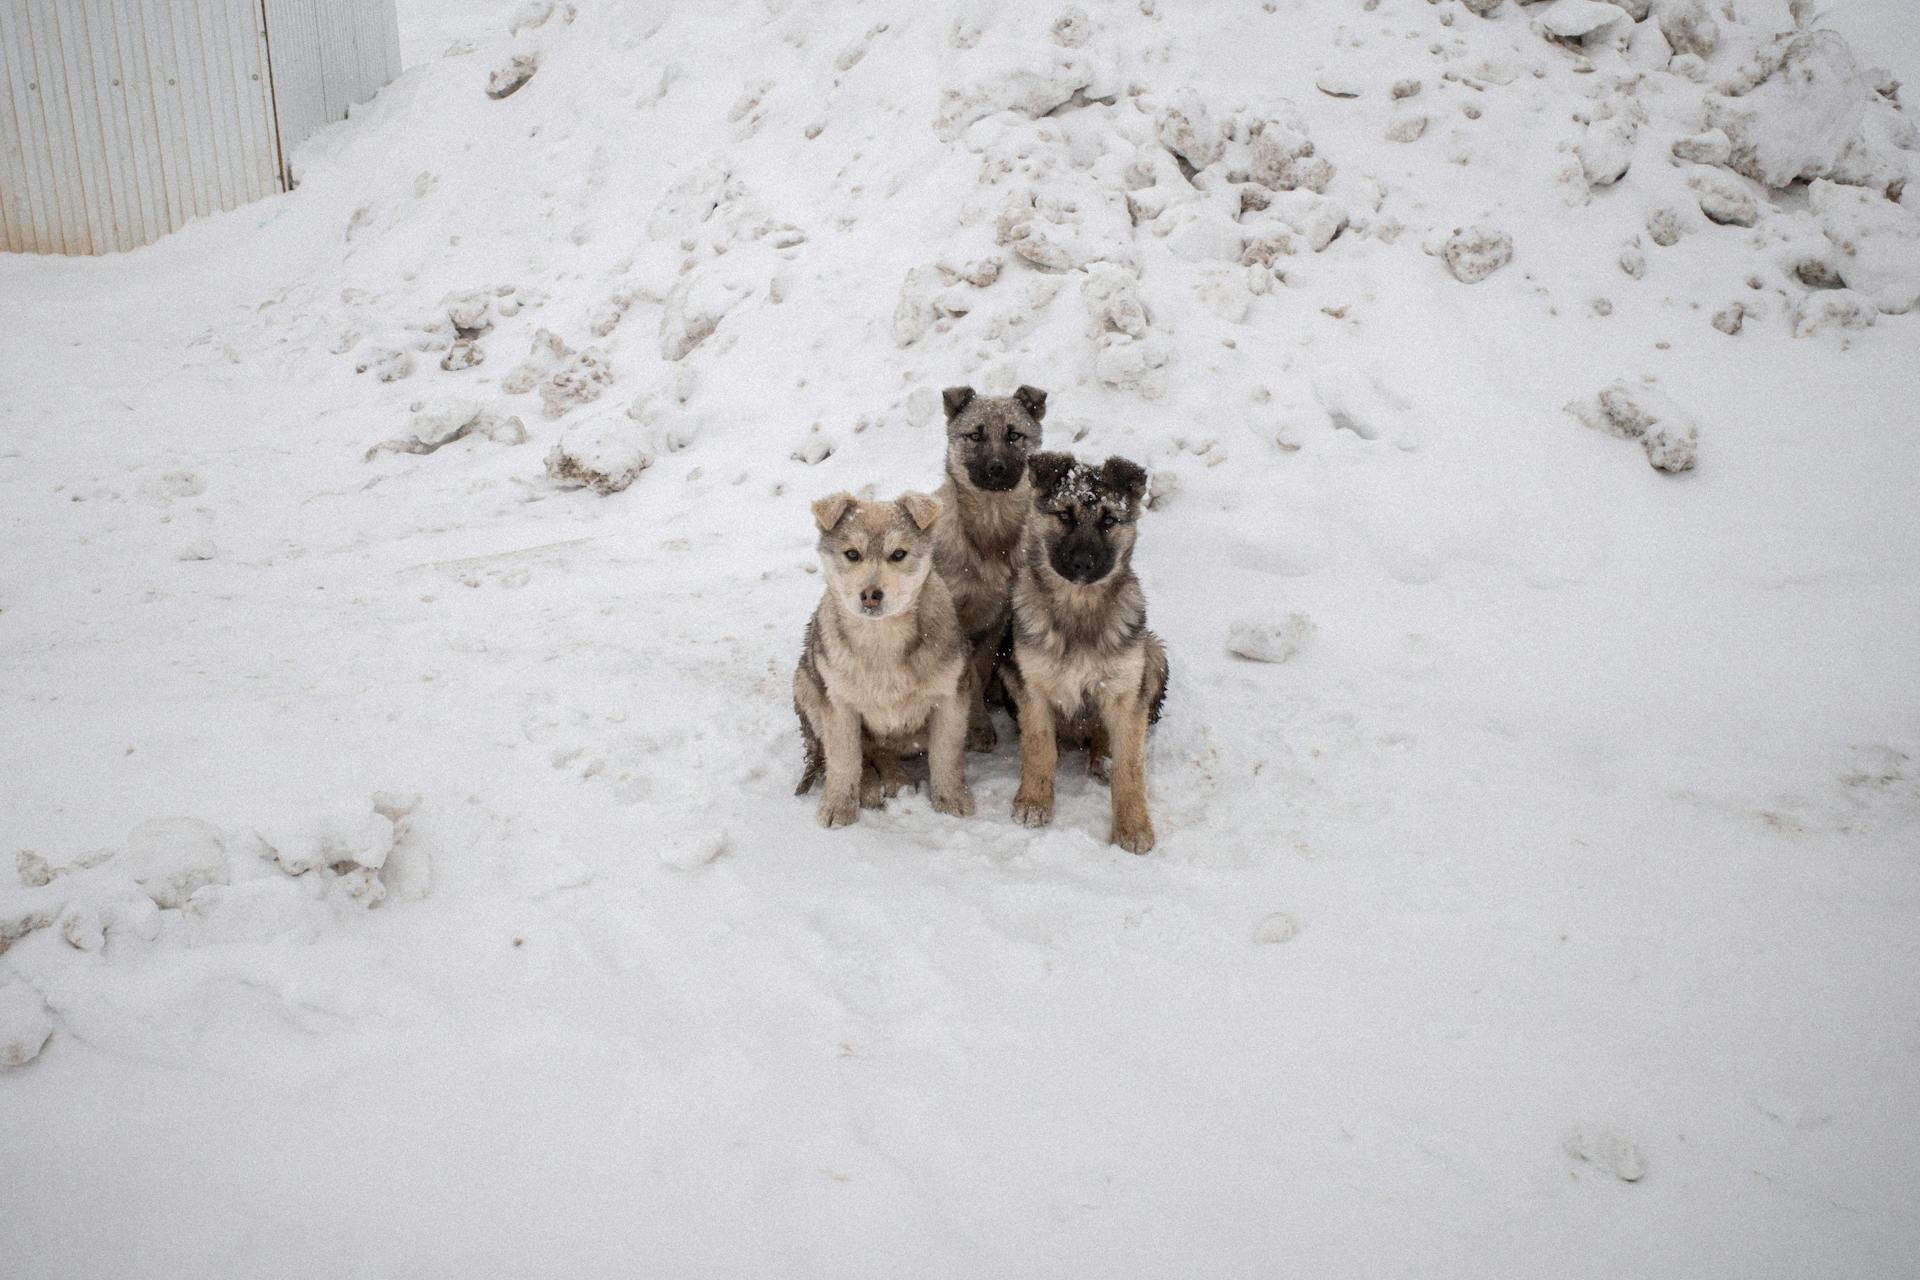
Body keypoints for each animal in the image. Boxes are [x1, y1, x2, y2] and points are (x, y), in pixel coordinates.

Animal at [1006, 454, 1167, 855]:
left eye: (1109, 520)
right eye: (1065, 515)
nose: (1082, 564)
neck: (1079, 608)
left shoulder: (1125, 690)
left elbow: (1130, 767)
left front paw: (1132, 827)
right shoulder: (1032, 686)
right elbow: (1038, 747)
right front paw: (1033, 802)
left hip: (1153, 654)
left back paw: (1102, 757)